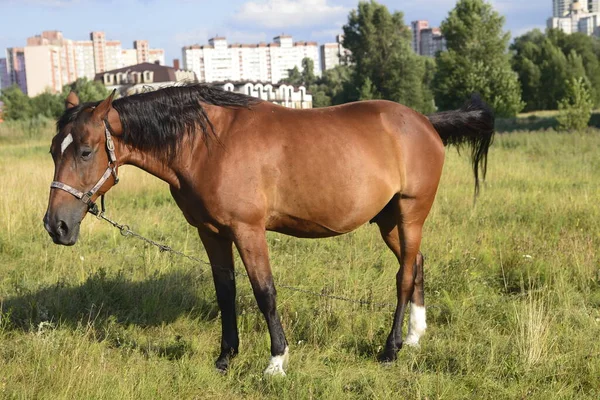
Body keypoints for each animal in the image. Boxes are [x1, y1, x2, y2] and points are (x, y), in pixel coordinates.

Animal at [44, 84, 494, 376]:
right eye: (53, 150)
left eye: (85, 151)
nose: (56, 225)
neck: (207, 145)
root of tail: (425, 122)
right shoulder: (211, 232)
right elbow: (225, 291)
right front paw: (225, 358)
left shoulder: (248, 231)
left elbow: (264, 292)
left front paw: (276, 361)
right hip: (388, 222)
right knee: (416, 263)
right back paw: (415, 336)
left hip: (410, 213)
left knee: (403, 276)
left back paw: (391, 349)